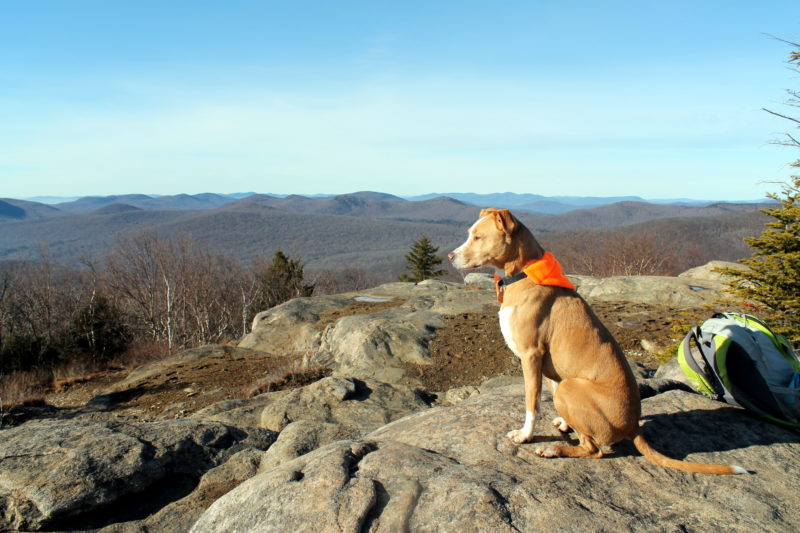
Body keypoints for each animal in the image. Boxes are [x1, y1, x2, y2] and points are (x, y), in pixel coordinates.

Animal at [446, 208, 748, 474]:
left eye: (478, 237)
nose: (449, 256)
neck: (522, 274)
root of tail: (633, 425)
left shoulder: (531, 356)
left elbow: (532, 402)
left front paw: (525, 435)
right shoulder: (546, 366)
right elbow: (545, 393)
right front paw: (559, 424)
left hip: (571, 388)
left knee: (594, 450)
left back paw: (553, 450)